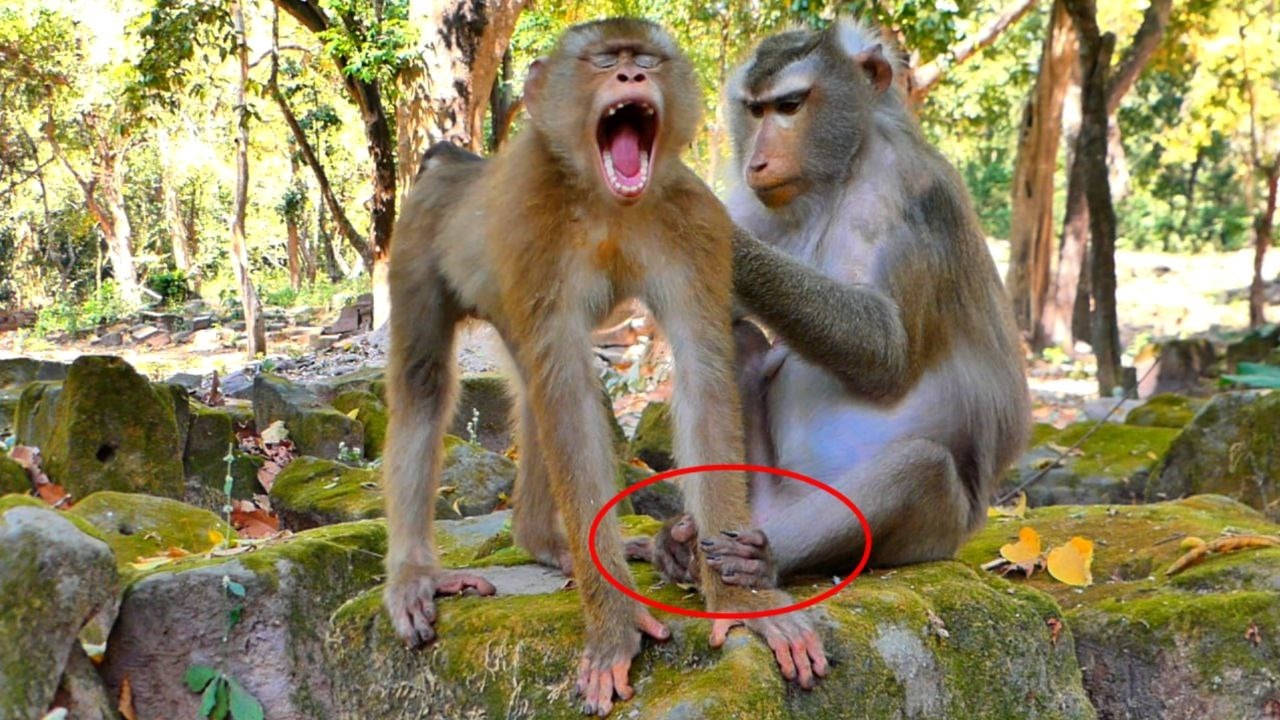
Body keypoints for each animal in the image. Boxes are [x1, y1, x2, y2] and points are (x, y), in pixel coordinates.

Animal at [381, 19, 825, 717]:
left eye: (645, 58)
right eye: (603, 61)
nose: (631, 76)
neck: (607, 202)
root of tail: (455, 162)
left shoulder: (693, 220)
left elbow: (701, 375)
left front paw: (741, 595)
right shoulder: (534, 230)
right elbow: (567, 395)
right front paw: (615, 628)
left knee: (533, 388)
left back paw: (544, 541)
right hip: (419, 236)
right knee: (430, 384)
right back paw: (416, 576)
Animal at [635, 19, 1031, 592]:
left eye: (790, 106)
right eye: (755, 110)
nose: (757, 160)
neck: (843, 171)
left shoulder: (904, 190)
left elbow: (887, 350)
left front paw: (709, 232)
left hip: (935, 531)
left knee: (922, 467)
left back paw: (764, 559)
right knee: (733, 341)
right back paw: (685, 539)